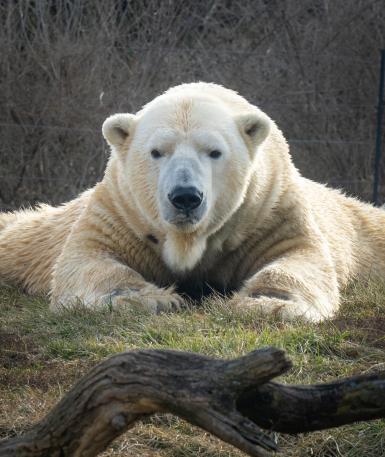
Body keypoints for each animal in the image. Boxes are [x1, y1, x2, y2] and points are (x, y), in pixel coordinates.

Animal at [0, 83, 384, 320]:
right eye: (157, 152)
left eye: (214, 151)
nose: (185, 197)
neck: (189, 242)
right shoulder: (120, 210)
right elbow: (87, 258)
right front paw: (153, 299)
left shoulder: (269, 209)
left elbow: (300, 254)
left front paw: (266, 303)